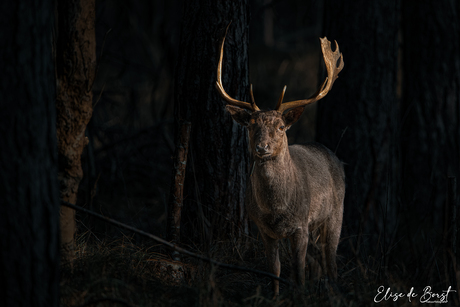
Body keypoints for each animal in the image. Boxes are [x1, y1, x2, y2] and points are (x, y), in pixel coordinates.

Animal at [217, 31, 344, 296]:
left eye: (281, 127)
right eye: (251, 125)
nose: (262, 147)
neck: (277, 209)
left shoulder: (300, 225)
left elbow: (297, 269)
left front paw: (300, 295)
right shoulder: (264, 229)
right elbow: (274, 268)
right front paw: (275, 296)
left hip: (335, 214)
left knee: (331, 259)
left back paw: (334, 292)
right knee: (317, 262)